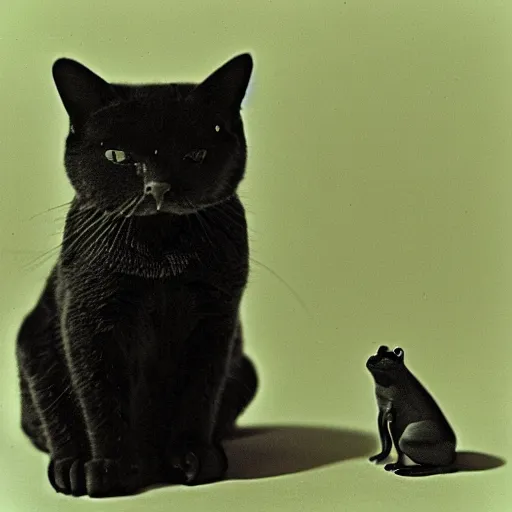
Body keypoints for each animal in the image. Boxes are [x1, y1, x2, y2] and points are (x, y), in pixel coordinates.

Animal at [16, 54, 258, 498]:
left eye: (195, 154)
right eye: (117, 156)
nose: (157, 187)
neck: (159, 253)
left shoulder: (214, 322)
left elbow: (198, 395)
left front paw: (193, 459)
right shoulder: (90, 321)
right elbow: (101, 399)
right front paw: (111, 469)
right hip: (35, 347)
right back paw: (71, 467)